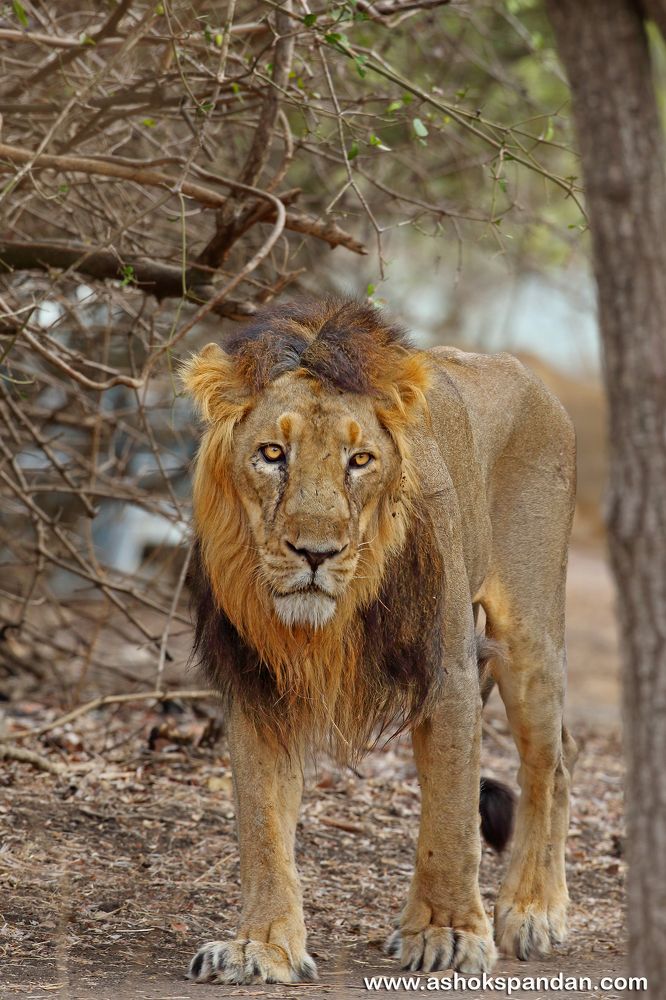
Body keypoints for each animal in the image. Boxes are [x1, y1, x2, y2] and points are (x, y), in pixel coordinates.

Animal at [180, 298, 578, 985]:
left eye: (360, 460)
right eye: (272, 453)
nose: (315, 552)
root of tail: (530, 377)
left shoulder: (449, 675)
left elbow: (451, 817)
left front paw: (447, 935)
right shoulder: (257, 683)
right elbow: (261, 825)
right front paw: (262, 947)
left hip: (530, 635)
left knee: (550, 763)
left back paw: (534, 910)